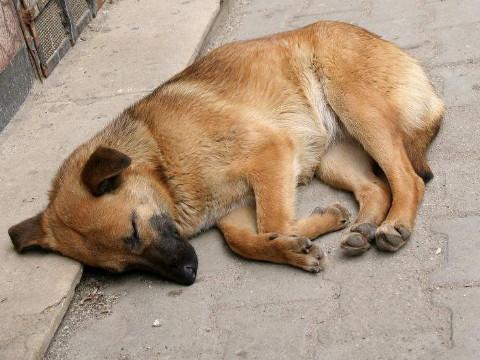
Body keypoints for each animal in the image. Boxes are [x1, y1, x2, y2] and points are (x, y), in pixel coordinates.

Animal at [7, 21, 442, 286]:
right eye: (120, 268)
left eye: (133, 229)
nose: (188, 274)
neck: (160, 158)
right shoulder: (233, 209)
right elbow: (243, 241)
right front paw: (292, 247)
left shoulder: (271, 156)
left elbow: (272, 222)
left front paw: (305, 231)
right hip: (333, 155)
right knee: (376, 188)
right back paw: (364, 227)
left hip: (358, 109)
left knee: (409, 179)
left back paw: (393, 225)